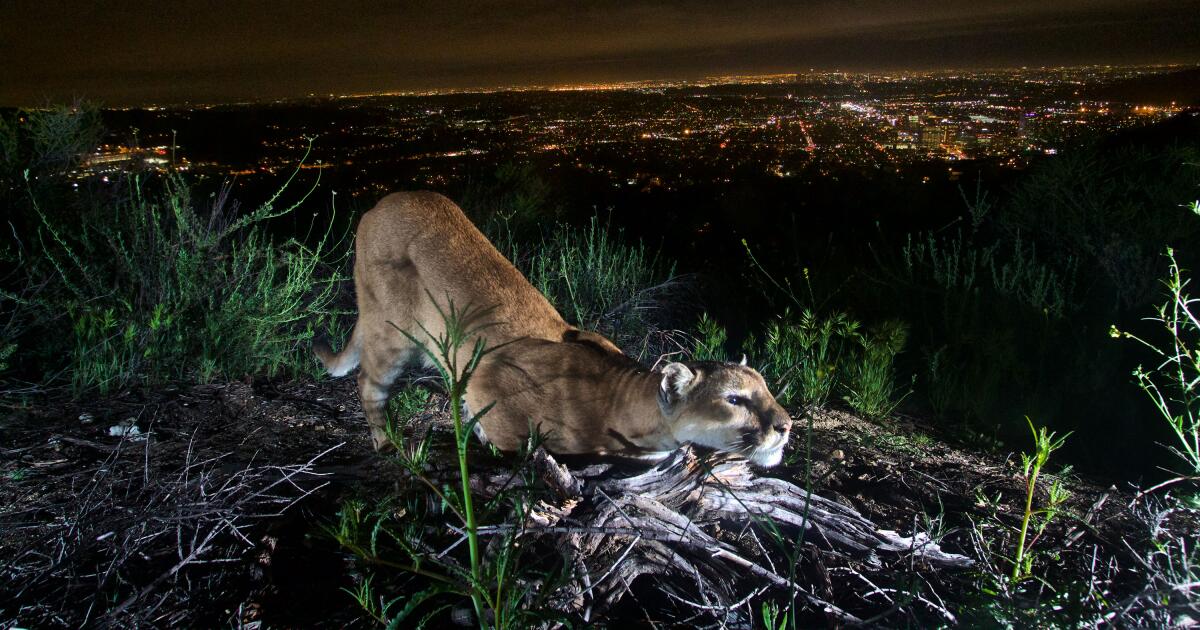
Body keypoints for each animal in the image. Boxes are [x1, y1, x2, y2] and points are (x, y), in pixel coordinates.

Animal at [315, 191, 792, 466]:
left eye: (767, 390)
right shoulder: (490, 380)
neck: (621, 400)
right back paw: (387, 444)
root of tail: (381, 203)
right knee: (368, 384)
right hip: (392, 333)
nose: (786, 425)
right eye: (734, 399)